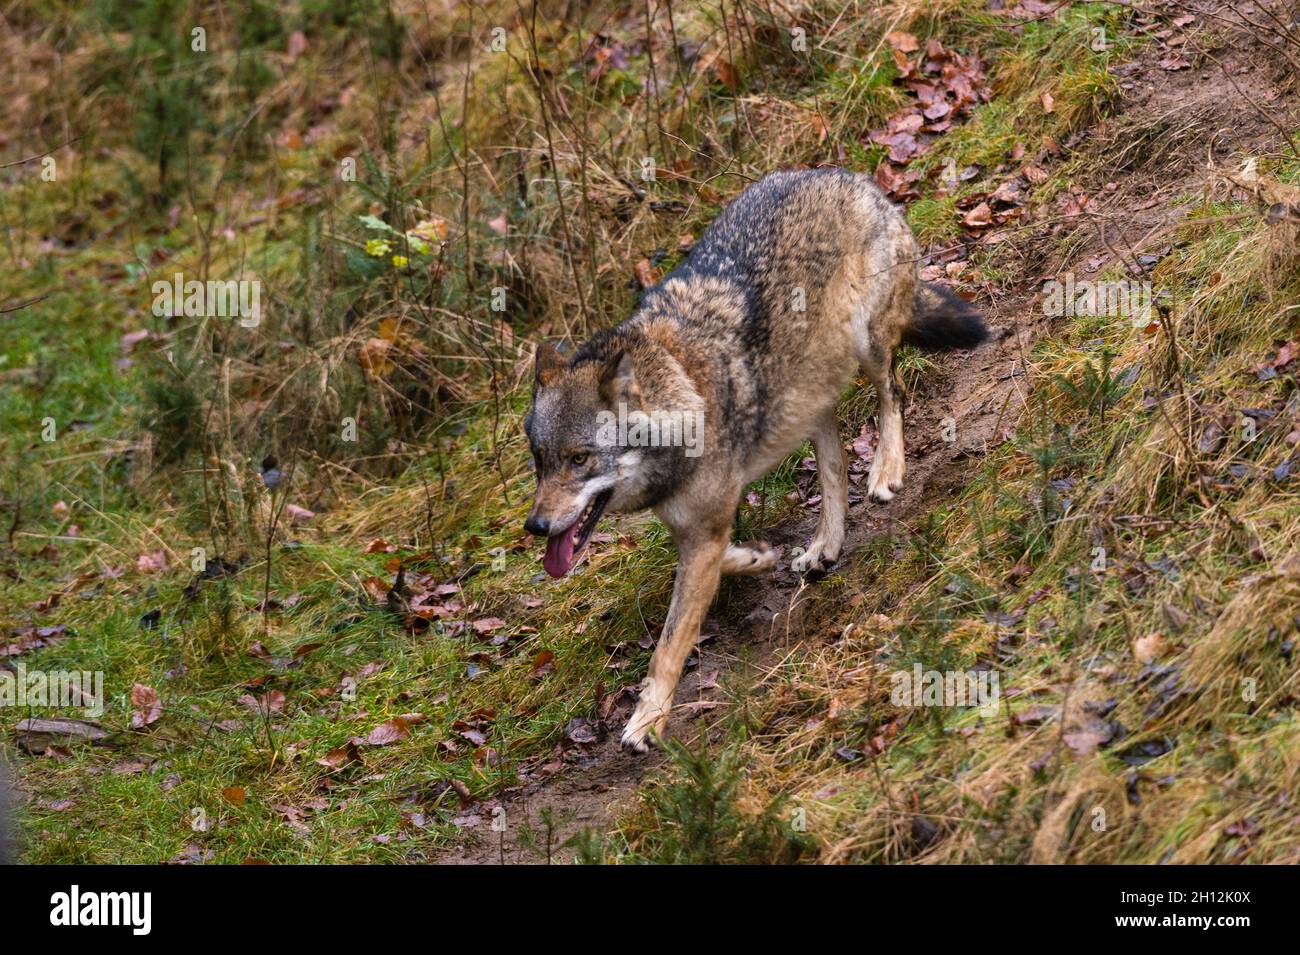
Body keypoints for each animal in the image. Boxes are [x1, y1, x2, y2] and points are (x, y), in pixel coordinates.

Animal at [523, 168, 987, 750]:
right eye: (539, 461)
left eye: (580, 458)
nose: (535, 527)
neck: (680, 397)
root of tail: (853, 178)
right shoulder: (695, 526)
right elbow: (720, 560)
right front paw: (757, 558)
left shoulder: (704, 527)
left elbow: (670, 642)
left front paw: (647, 720)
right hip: (808, 391)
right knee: (835, 467)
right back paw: (824, 546)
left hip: (867, 345)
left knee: (893, 394)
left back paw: (887, 469)